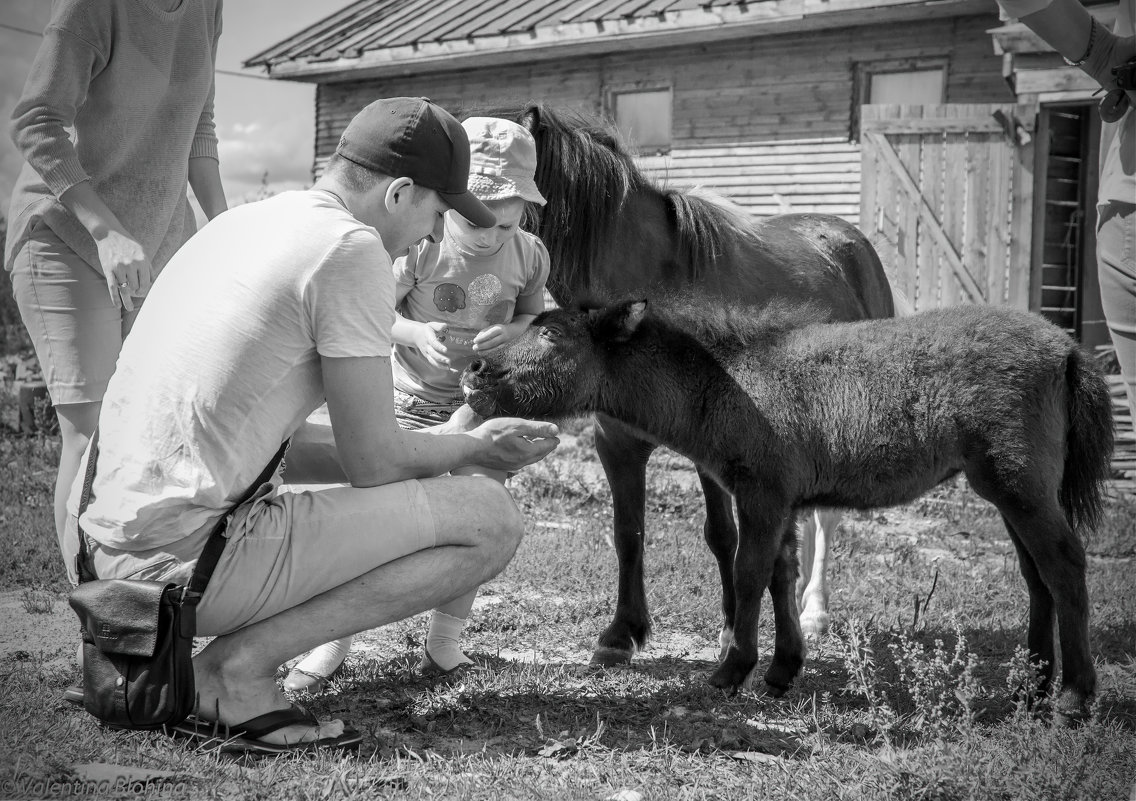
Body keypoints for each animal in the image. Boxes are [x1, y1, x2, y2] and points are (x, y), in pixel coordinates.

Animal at [461, 99, 895, 663]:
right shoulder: (616, 440)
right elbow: (628, 532)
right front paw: (621, 633)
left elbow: (722, 535)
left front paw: (732, 631)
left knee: (826, 518)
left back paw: (814, 612)